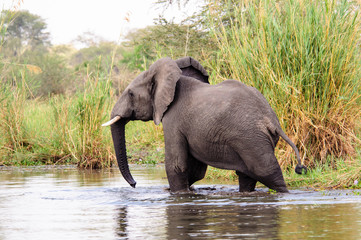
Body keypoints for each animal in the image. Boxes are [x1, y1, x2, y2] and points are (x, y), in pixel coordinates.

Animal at [102, 56, 306, 193]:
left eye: (130, 94)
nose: (135, 185)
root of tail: (272, 120)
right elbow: (195, 170)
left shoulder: (173, 119)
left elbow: (177, 165)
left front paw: (175, 193)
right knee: (247, 175)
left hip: (251, 137)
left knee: (266, 171)